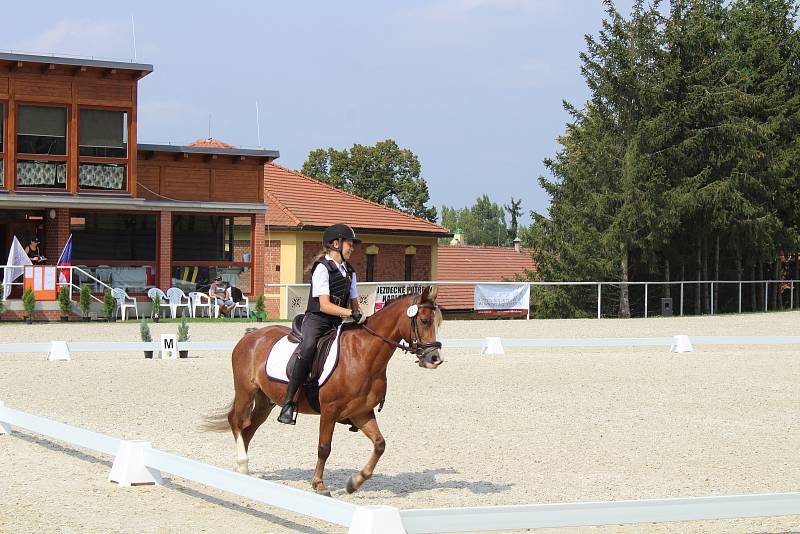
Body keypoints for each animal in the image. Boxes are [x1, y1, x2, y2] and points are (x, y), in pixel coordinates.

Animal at [205, 288, 444, 498]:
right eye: (424, 321)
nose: (435, 359)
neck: (363, 354)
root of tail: (252, 335)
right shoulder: (330, 410)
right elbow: (324, 448)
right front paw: (319, 484)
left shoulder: (361, 412)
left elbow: (379, 444)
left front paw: (354, 483)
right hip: (246, 391)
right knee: (236, 422)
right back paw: (242, 465)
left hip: (265, 401)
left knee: (248, 429)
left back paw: (242, 471)